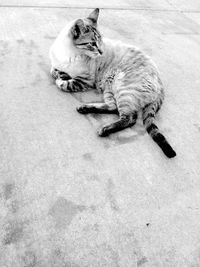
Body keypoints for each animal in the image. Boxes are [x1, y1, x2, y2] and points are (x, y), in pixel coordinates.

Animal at [49, 8, 176, 159]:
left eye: (100, 41)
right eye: (92, 44)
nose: (101, 51)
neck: (69, 53)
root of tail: (161, 85)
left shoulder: (84, 81)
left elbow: (63, 84)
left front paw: (61, 78)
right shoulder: (57, 65)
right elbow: (53, 70)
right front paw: (60, 73)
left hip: (122, 89)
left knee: (129, 118)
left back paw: (104, 130)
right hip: (109, 88)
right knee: (112, 107)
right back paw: (84, 108)